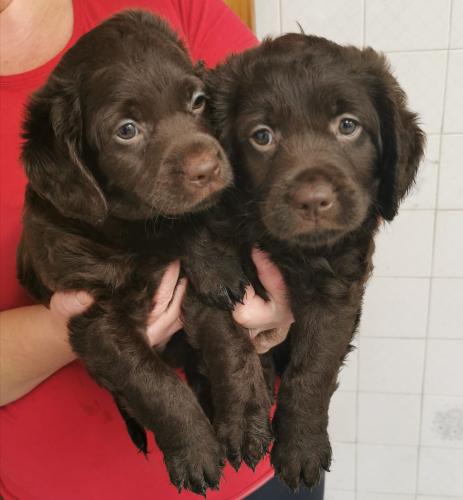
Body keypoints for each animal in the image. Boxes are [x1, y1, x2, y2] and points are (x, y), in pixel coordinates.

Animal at [17, 9, 236, 494]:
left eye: (197, 100)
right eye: (127, 131)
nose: (208, 168)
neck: (132, 232)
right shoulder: (95, 320)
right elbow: (153, 383)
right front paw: (195, 450)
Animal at [206, 34, 424, 488]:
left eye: (347, 125)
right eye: (262, 136)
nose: (313, 200)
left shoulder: (338, 289)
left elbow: (314, 368)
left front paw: (301, 446)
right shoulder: (210, 279)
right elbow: (229, 348)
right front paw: (243, 425)